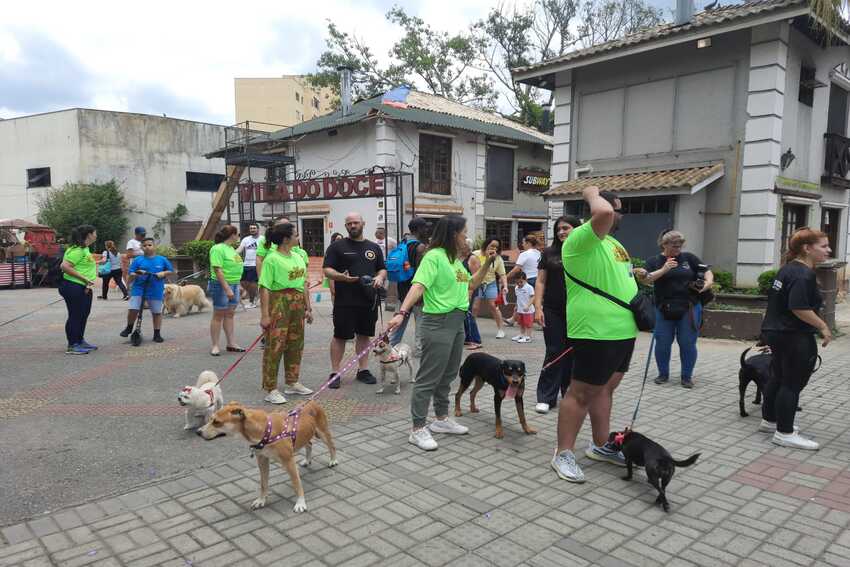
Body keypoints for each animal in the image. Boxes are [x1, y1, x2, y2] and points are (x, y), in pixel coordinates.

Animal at [197, 400, 336, 516]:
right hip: (306, 434)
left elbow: (296, 483)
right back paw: (307, 460)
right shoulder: (262, 460)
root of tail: (311, 401)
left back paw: (333, 460)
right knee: (309, 444)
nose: (198, 432)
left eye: (216, 422)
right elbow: (263, 483)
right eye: (210, 419)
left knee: (332, 446)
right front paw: (261, 500)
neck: (264, 430)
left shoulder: (289, 461)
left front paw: (301, 503)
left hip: (322, 432)